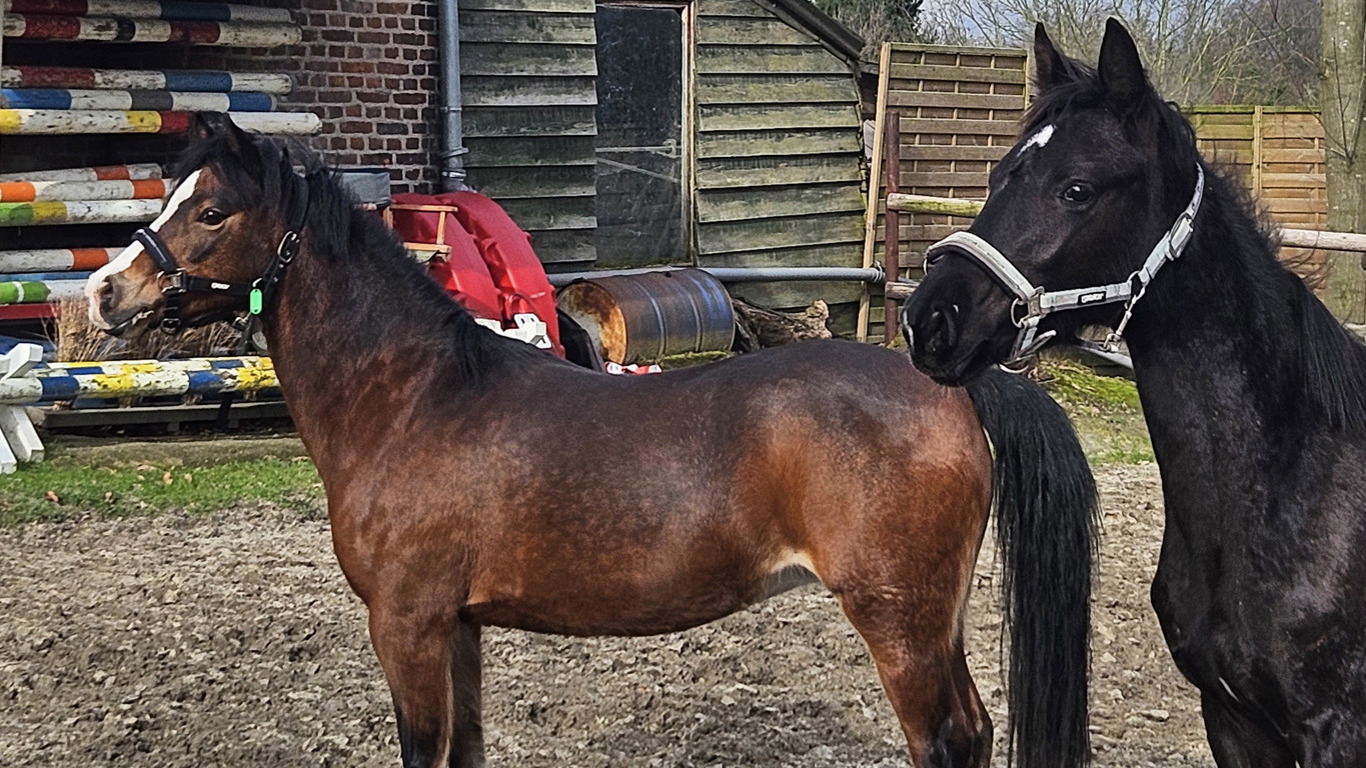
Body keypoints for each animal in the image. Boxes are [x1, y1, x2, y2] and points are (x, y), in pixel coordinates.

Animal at [85, 113, 1098, 768]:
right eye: (176, 195)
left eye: (211, 211)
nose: (104, 290)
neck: (415, 398)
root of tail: (949, 383)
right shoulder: (455, 628)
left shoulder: (405, 626)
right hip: (936, 621)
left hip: (900, 626)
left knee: (947, 742)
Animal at [904, 18, 1366, 767]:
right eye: (1001, 175)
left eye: (1077, 190)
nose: (929, 319)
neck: (1301, 489)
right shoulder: (1234, 721)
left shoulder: (1338, 731)